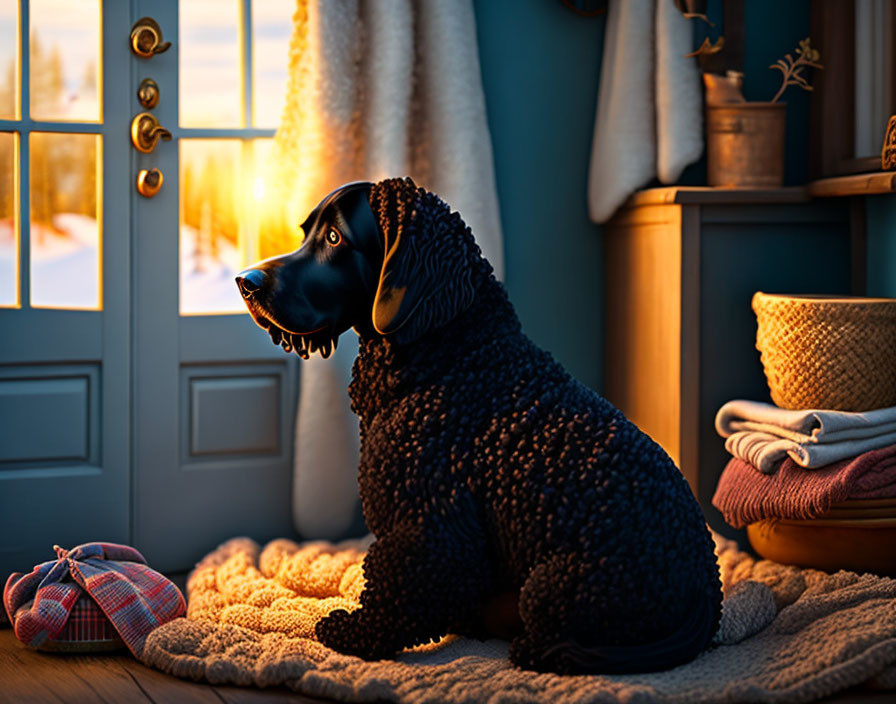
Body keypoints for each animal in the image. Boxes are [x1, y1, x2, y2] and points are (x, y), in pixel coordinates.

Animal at [236, 176, 720, 672]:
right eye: (305, 233)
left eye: (334, 238)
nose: (244, 281)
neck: (451, 352)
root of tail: (706, 591)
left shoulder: (430, 522)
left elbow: (397, 589)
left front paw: (355, 632)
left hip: (553, 586)